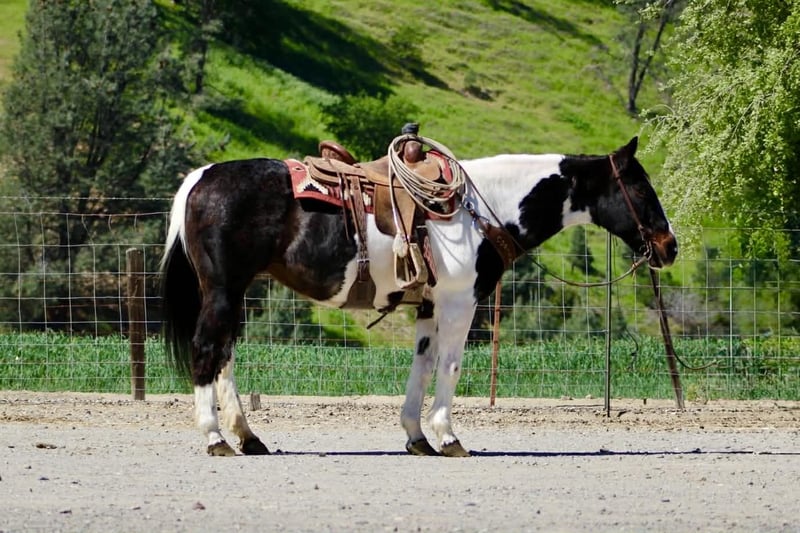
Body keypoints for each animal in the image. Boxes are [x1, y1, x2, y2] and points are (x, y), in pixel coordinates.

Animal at [160, 136, 678, 457]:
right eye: (639, 188)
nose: (670, 246)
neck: (479, 207)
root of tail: (201, 177)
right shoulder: (459, 302)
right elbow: (450, 366)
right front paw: (448, 437)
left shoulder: (429, 305)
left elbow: (423, 365)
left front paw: (417, 437)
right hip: (224, 290)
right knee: (207, 350)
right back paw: (216, 438)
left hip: (232, 293)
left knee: (224, 355)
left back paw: (248, 437)